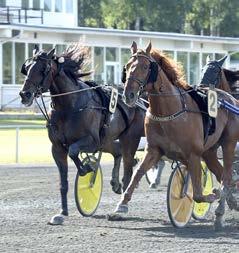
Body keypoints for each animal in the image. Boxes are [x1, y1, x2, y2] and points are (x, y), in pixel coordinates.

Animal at [18, 45, 145, 225]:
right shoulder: (57, 148)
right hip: (107, 140)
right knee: (118, 152)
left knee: (127, 166)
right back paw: (115, 184)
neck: (69, 107)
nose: (25, 94)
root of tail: (137, 100)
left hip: (129, 138)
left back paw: (122, 204)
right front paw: (62, 213)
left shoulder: (91, 141)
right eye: (27, 67)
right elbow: (63, 182)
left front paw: (87, 168)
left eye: (44, 69)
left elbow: (73, 151)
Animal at [113, 41, 239, 229]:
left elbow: (197, 194)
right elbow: (138, 173)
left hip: (229, 144)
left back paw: (220, 208)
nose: (128, 94)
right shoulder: (154, 150)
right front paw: (121, 205)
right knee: (224, 175)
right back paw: (229, 204)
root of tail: (232, 99)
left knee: (227, 176)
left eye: (145, 67)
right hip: (209, 152)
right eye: (127, 66)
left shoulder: (193, 155)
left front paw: (212, 195)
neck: (169, 111)